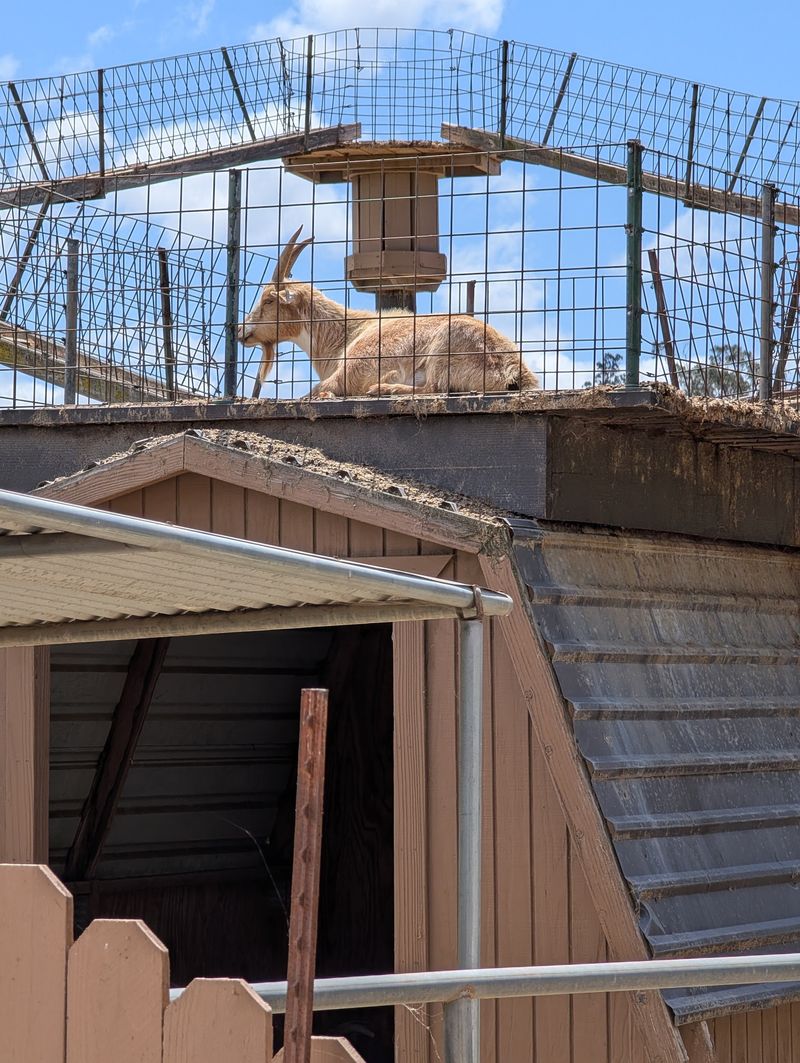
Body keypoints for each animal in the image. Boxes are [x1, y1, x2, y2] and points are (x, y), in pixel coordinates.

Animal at [238, 226, 539, 399]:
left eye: (268, 300)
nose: (241, 330)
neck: (346, 333)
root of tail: (514, 372)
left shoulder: (348, 372)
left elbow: (312, 393)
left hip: (444, 347)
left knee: (434, 388)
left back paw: (385, 387)